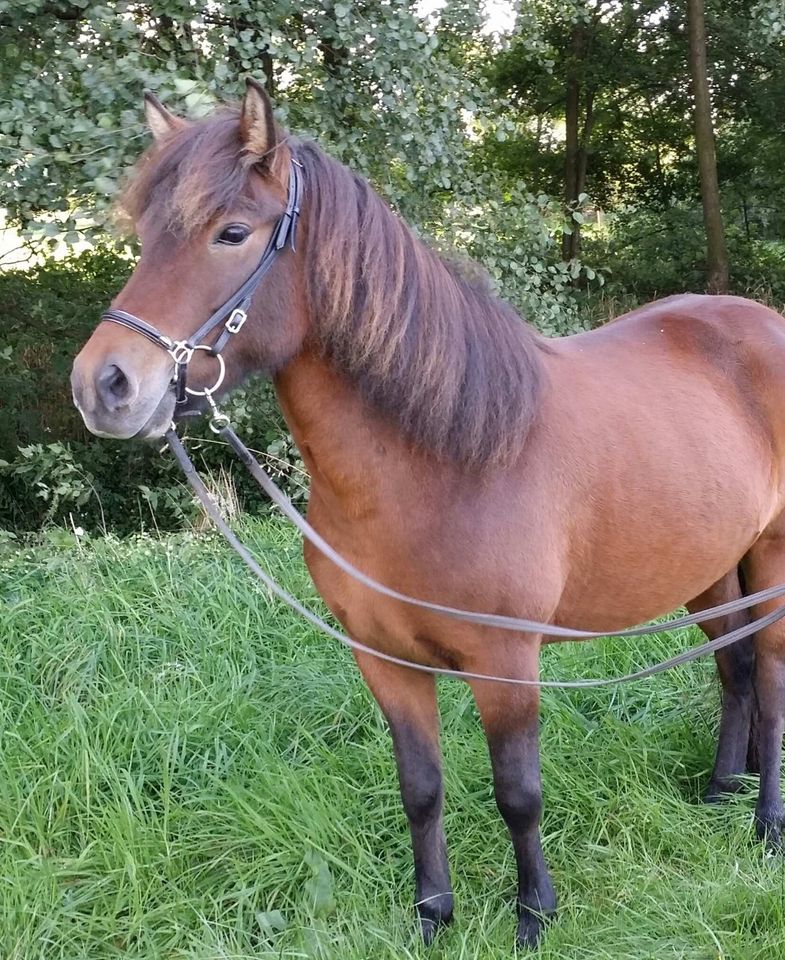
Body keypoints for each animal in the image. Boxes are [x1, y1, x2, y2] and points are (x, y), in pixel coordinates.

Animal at [70, 79, 784, 948]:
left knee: (769, 673)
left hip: (771, 560)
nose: (104, 384)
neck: (441, 464)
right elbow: (420, 788)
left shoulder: (505, 661)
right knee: (734, 666)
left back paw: (765, 822)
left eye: (231, 232)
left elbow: (518, 794)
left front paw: (533, 918)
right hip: (709, 565)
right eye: (142, 235)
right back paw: (720, 788)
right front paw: (431, 916)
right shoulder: (384, 659)